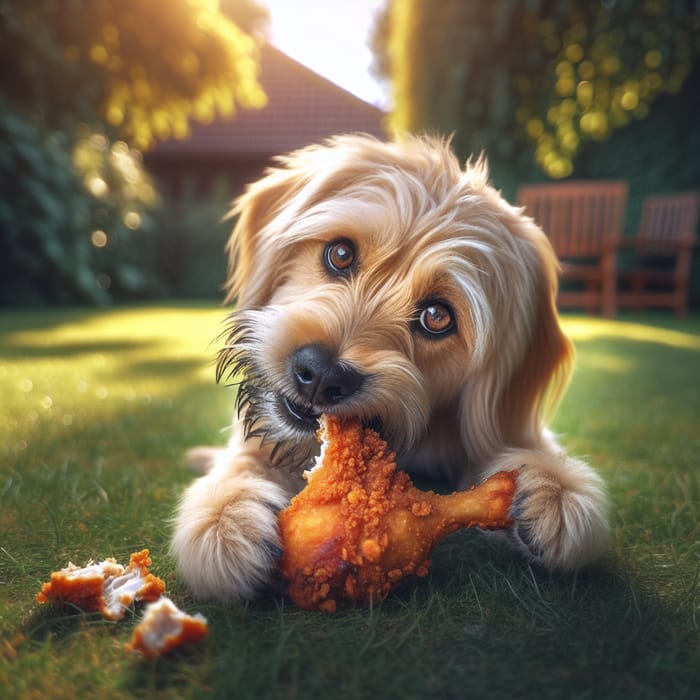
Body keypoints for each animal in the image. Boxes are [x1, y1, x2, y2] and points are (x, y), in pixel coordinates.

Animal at [172, 133, 608, 600]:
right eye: (340, 253)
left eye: (437, 316)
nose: (321, 375)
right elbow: (240, 462)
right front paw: (226, 517)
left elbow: (531, 448)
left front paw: (554, 487)